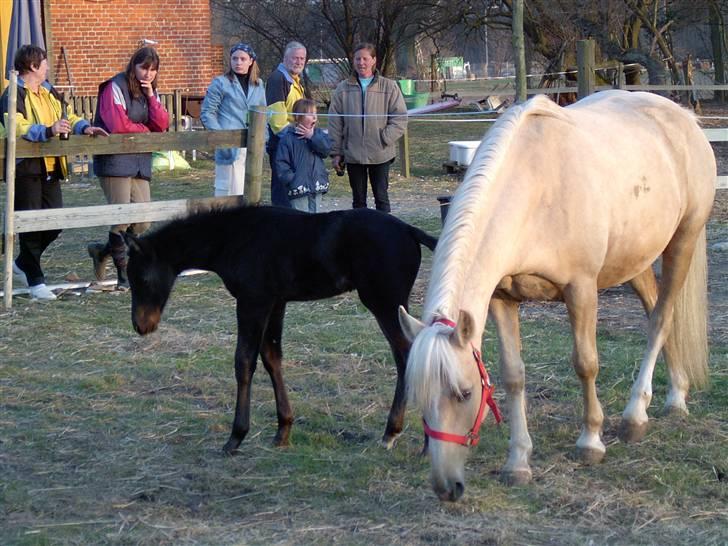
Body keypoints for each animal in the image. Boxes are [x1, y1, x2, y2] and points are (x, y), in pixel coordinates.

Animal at [124, 204, 436, 450]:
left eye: (143, 279)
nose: (142, 325)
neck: (234, 238)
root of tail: (409, 230)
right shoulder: (275, 303)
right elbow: (272, 358)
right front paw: (283, 430)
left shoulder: (253, 301)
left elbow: (244, 361)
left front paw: (236, 436)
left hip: (384, 303)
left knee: (408, 355)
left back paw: (405, 434)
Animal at [396, 90, 712, 502]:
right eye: (419, 397)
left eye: (465, 393)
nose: (447, 487)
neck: (533, 192)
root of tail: (684, 117)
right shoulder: (502, 299)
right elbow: (513, 375)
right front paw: (518, 463)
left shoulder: (581, 289)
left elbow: (585, 363)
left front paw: (590, 442)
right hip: (635, 260)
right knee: (658, 312)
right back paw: (675, 395)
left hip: (682, 242)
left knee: (661, 319)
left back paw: (638, 416)